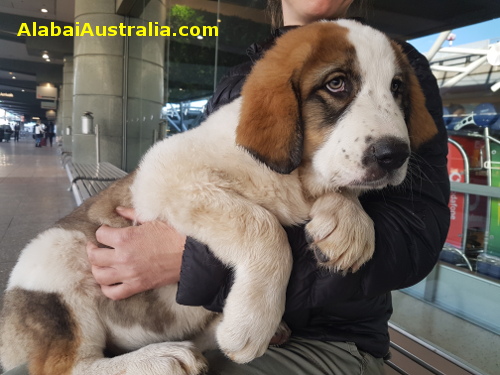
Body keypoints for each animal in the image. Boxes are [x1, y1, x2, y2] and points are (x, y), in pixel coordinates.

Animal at [0, 19, 436, 375]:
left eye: (398, 88)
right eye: (337, 84)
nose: (394, 154)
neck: (294, 178)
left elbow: (336, 192)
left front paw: (349, 224)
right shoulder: (167, 174)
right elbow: (263, 225)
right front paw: (250, 324)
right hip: (57, 257)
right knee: (67, 365)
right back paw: (161, 359)